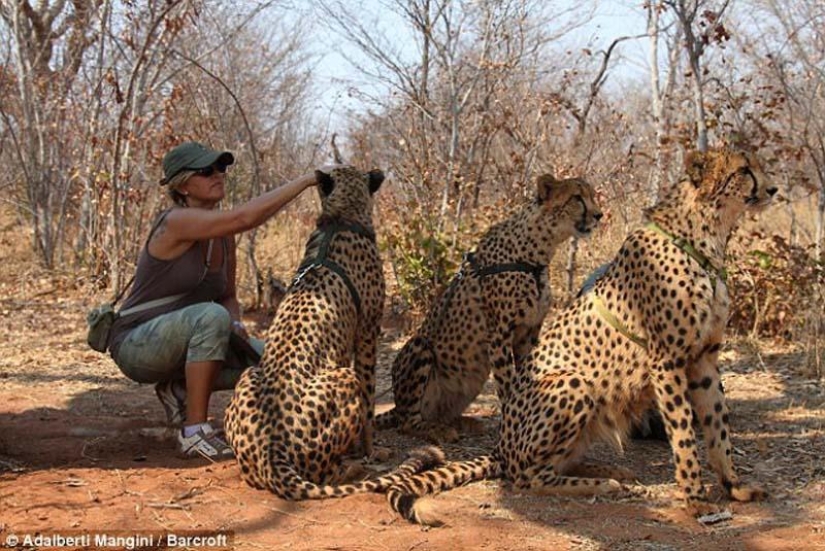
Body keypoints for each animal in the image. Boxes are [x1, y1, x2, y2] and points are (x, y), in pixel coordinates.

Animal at [224, 165, 443, 499]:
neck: (341, 219)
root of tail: (273, 451)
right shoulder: (367, 333)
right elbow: (368, 400)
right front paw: (370, 451)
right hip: (344, 379)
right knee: (323, 473)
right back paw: (352, 468)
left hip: (248, 375)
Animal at [376, 173, 603, 443]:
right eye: (577, 197)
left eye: (591, 195)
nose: (599, 215)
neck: (537, 250)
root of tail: (395, 405)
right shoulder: (499, 335)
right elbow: (508, 384)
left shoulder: (528, 334)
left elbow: (525, 379)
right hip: (420, 345)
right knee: (407, 422)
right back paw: (437, 430)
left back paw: (465, 422)